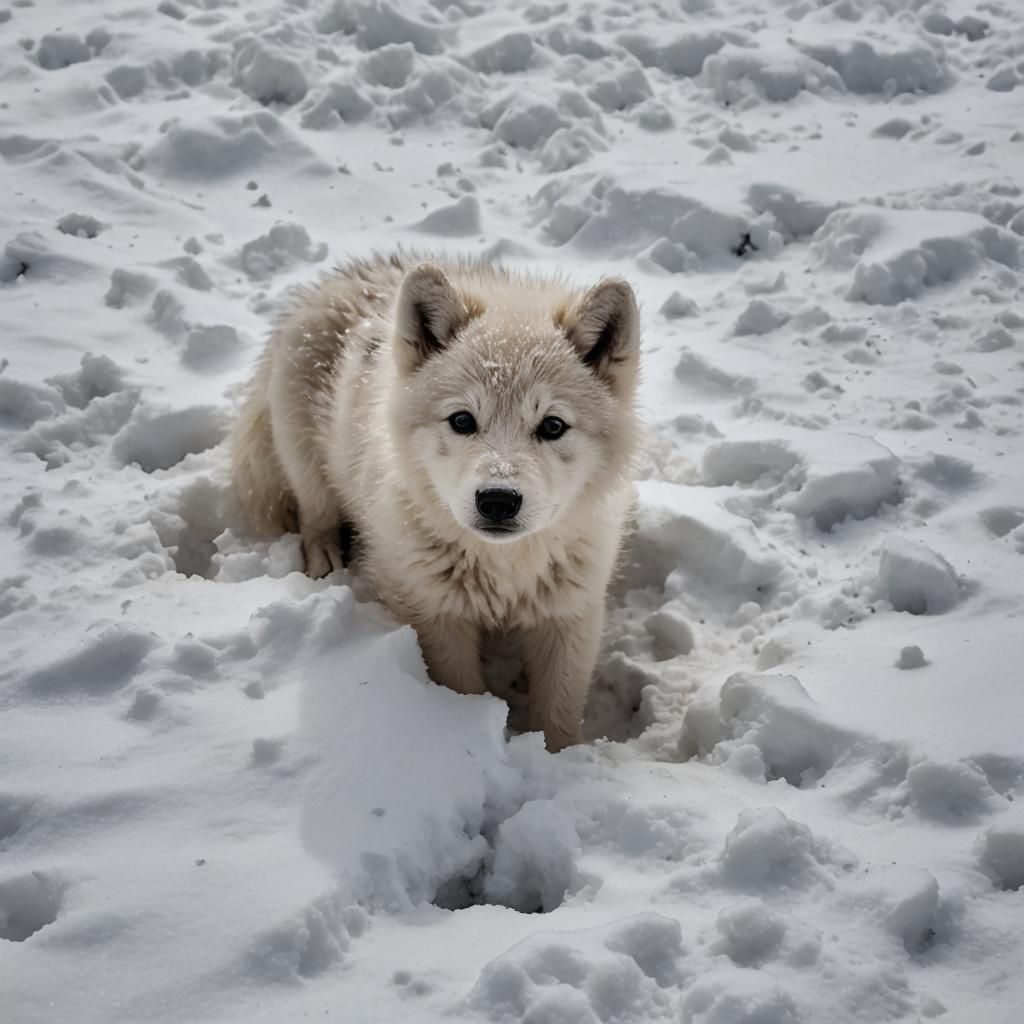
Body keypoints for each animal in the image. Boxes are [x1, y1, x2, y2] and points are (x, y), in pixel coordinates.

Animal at [232, 253, 642, 751]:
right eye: (462, 420)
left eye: (553, 426)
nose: (498, 501)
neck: (503, 570)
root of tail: (347, 276)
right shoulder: (436, 618)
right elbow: (461, 692)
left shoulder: (569, 617)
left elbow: (558, 713)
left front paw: (556, 758)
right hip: (306, 460)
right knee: (315, 513)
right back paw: (324, 556)